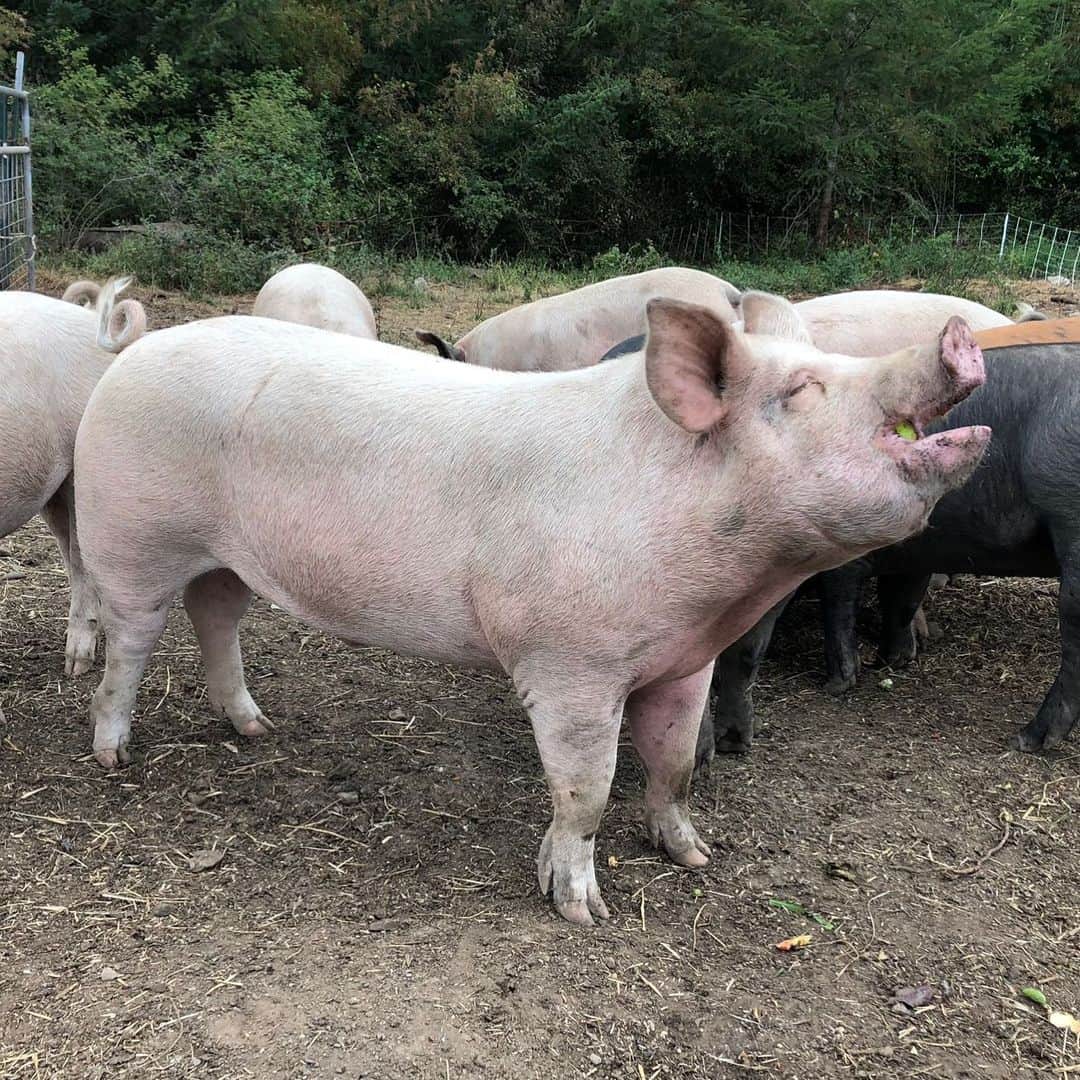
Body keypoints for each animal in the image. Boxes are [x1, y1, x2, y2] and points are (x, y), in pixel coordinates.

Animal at [0, 279, 142, 697]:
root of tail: (87, 316)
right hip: (51, 487)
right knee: (70, 553)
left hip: (82, 474)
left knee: (81, 562)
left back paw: (76, 665)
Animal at [74, 289, 989, 924]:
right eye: (804, 387)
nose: (957, 336)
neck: (728, 585)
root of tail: (134, 353)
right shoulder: (569, 664)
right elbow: (587, 790)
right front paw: (584, 910)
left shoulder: (686, 659)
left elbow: (675, 766)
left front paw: (695, 857)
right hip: (131, 533)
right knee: (130, 642)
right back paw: (114, 755)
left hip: (225, 558)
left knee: (217, 619)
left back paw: (258, 729)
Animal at [697, 315, 1080, 766]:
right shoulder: (914, 553)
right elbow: (901, 599)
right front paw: (895, 661)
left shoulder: (847, 561)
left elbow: (840, 604)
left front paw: (838, 684)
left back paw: (1027, 739)